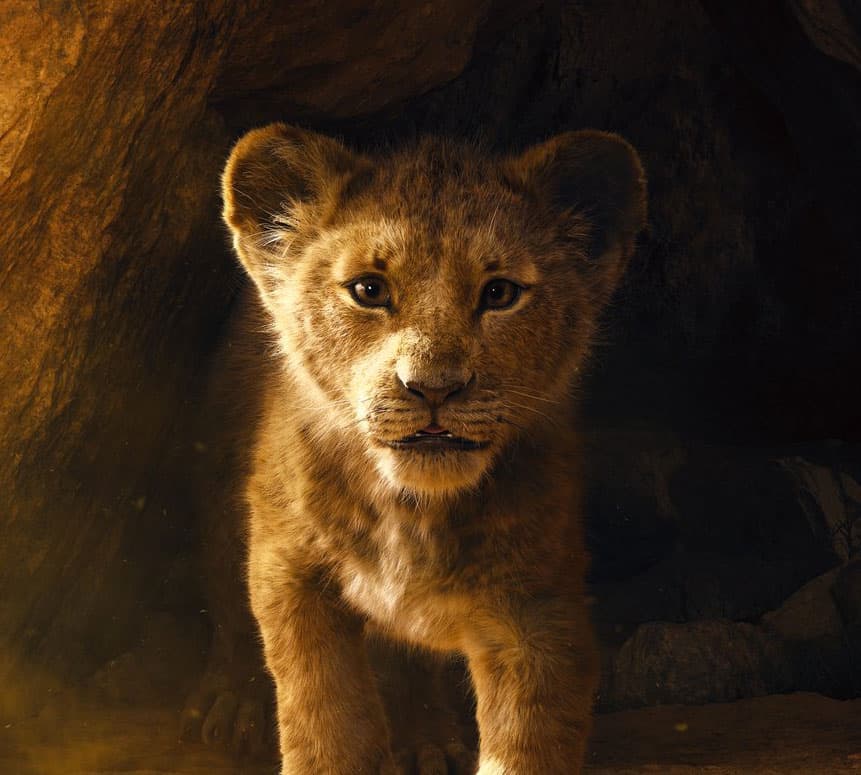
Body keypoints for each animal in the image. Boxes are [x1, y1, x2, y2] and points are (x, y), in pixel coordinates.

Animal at [183, 123, 646, 774]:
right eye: (368, 290)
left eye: (499, 293)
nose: (433, 387)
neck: (411, 509)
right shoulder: (289, 570)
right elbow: (322, 714)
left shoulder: (540, 607)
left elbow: (528, 741)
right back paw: (232, 706)